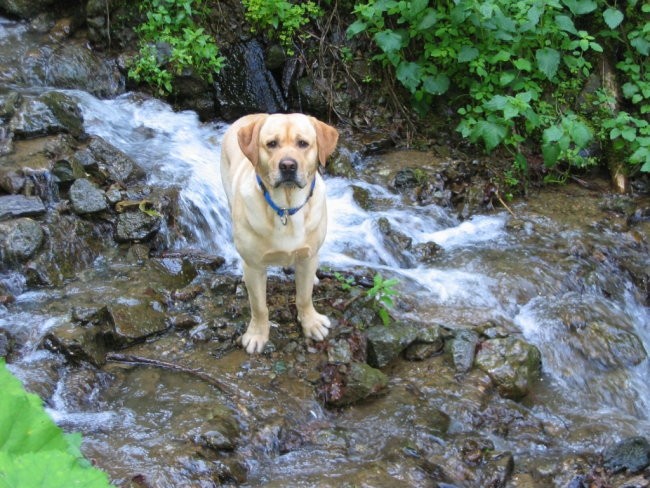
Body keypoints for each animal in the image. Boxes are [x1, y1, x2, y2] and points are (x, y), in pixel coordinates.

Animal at [219, 112, 336, 352]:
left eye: (303, 143)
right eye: (271, 144)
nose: (288, 165)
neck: (286, 208)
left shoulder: (308, 257)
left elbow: (304, 297)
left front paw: (311, 323)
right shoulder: (254, 266)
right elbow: (259, 306)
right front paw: (257, 334)